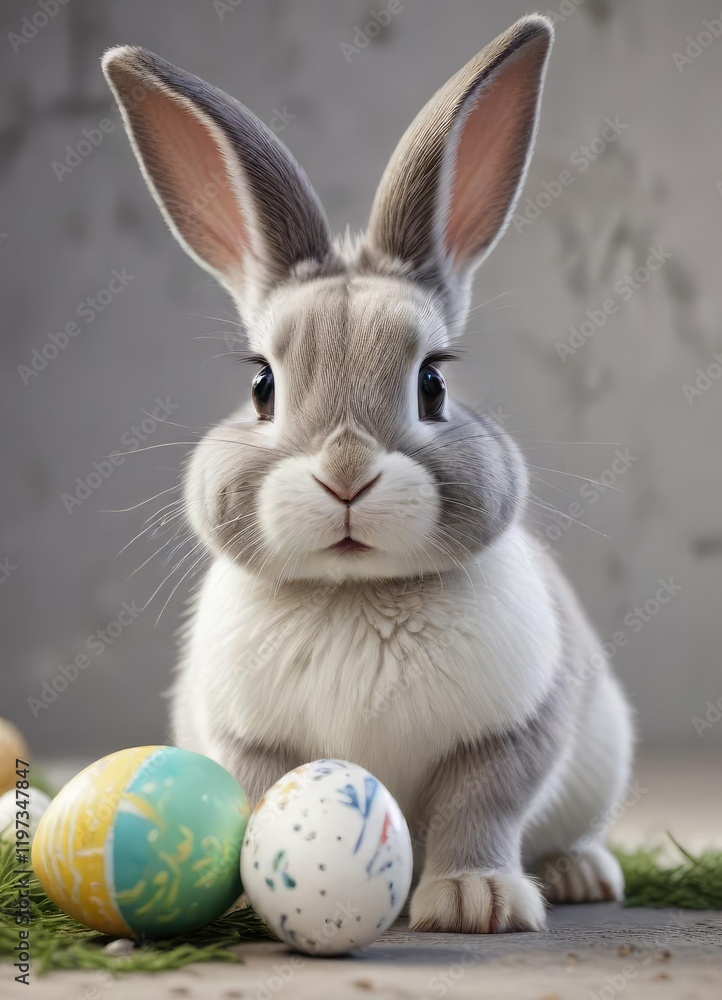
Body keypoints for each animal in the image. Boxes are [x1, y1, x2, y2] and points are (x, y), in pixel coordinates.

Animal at [102, 13, 634, 934]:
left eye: (434, 384)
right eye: (262, 385)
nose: (346, 475)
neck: (355, 595)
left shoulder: (513, 733)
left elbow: (478, 808)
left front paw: (474, 901)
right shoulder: (249, 742)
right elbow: (262, 794)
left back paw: (579, 875)